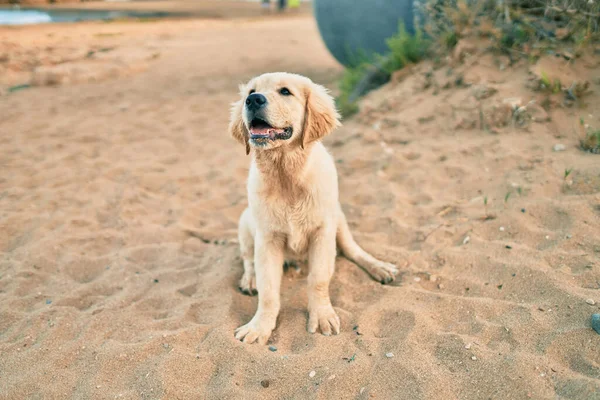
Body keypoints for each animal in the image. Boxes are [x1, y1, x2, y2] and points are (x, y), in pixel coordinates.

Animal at [230, 71, 398, 344]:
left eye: (285, 92)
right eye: (250, 91)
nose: (253, 100)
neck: (286, 175)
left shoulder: (323, 231)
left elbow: (318, 279)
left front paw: (321, 316)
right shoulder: (267, 238)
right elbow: (268, 289)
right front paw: (259, 326)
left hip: (338, 215)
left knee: (351, 249)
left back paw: (379, 267)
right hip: (245, 222)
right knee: (247, 259)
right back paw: (250, 279)